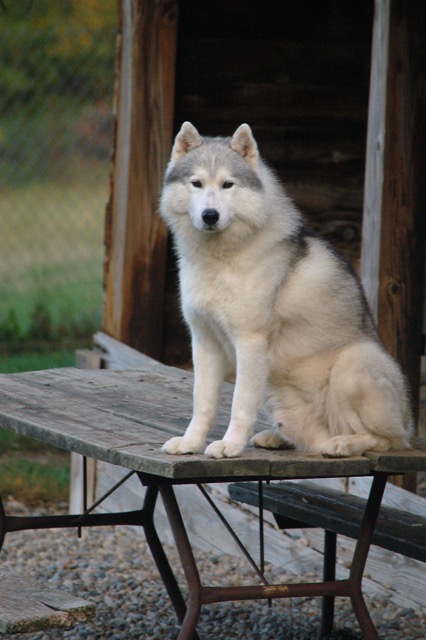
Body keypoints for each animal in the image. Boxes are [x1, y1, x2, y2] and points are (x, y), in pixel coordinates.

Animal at [159, 122, 413, 459]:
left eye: (228, 185)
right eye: (196, 184)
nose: (209, 215)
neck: (221, 260)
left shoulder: (251, 343)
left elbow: (239, 405)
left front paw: (230, 444)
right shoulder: (204, 342)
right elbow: (202, 403)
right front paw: (190, 442)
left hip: (353, 364)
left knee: (387, 440)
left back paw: (343, 443)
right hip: (275, 392)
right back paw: (280, 437)